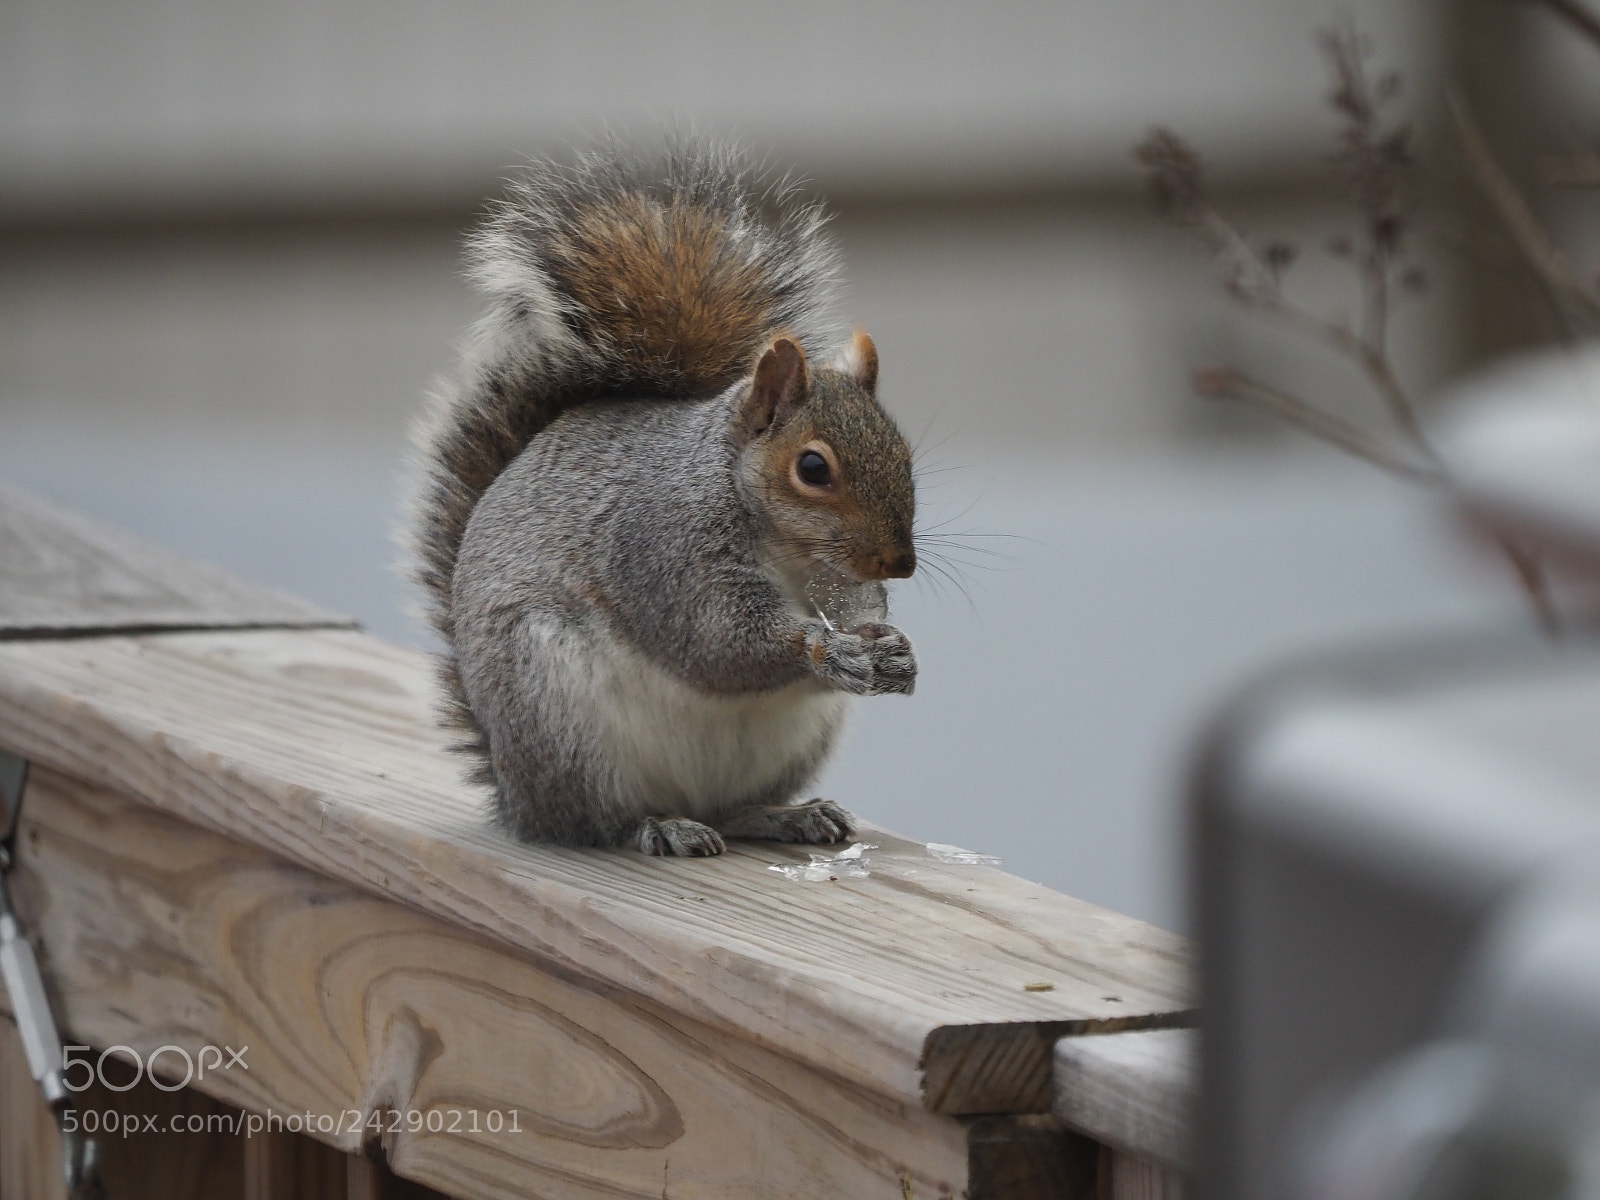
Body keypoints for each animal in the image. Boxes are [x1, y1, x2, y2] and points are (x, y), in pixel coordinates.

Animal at [408, 142, 918, 857]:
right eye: (813, 467)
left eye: (905, 453)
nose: (900, 564)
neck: (790, 551)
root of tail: (515, 797)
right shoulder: (664, 552)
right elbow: (719, 643)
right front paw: (831, 650)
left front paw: (892, 648)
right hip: (557, 715)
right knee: (595, 822)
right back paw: (658, 827)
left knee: (730, 809)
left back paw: (785, 815)